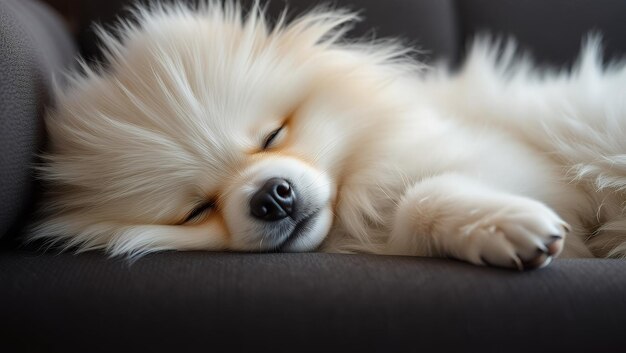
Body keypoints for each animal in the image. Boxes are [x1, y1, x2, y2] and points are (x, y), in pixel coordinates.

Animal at [31, 2, 624, 270]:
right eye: (195, 210)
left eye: (272, 136)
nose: (272, 196)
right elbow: (418, 206)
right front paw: (501, 231)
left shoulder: (518, 164)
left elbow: (422, 194)